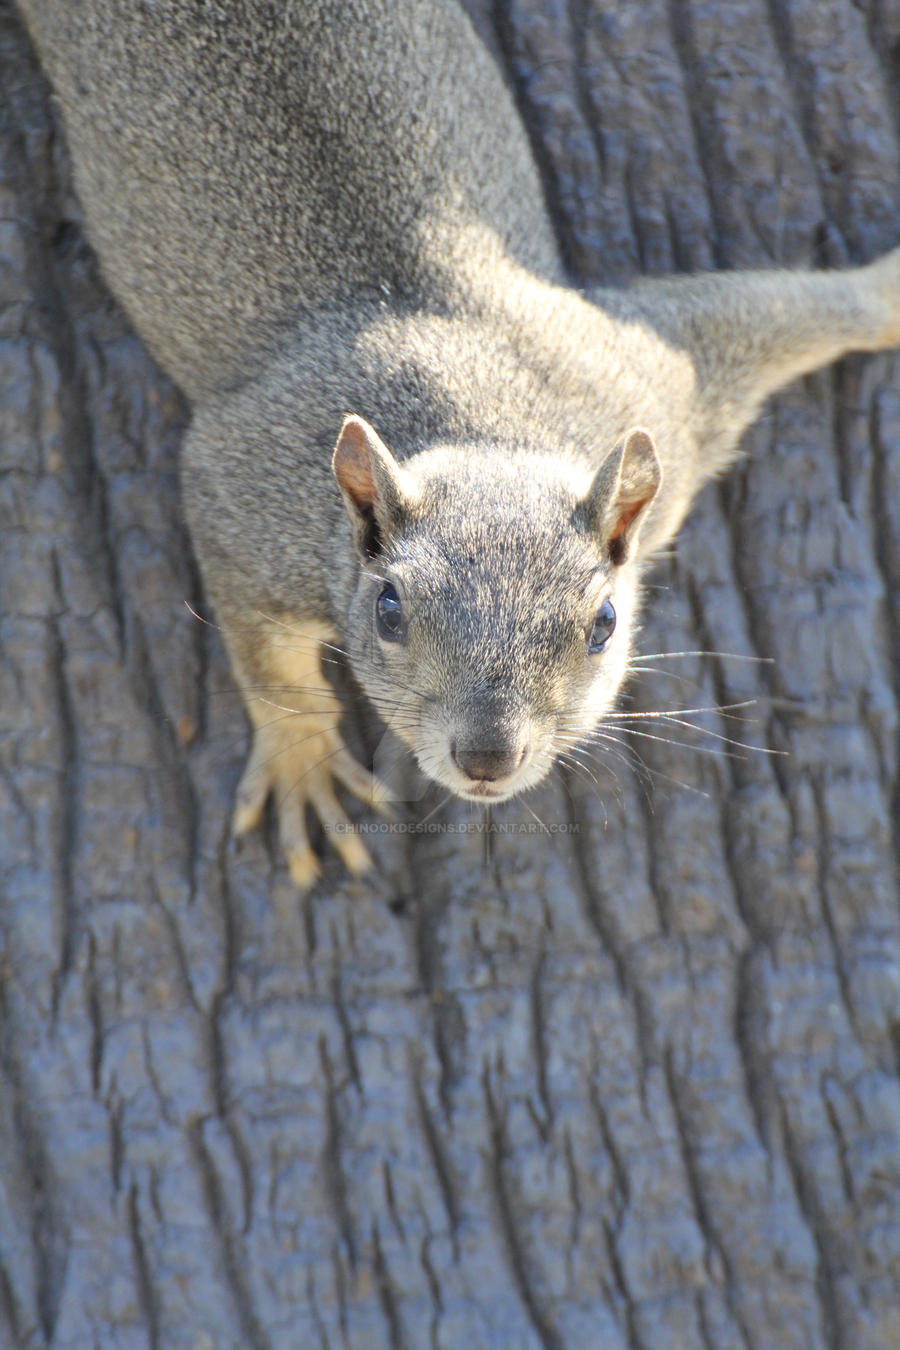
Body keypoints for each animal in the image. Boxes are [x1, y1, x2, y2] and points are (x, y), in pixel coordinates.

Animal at [19, 0, 900, 891]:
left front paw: (884, 291)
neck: (483, 426)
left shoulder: (665, 387)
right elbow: (263, 650)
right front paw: (302, 757)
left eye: (605, 623)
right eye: (388, 608)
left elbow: (780, 311)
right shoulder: (245, 491)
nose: (486, 757)